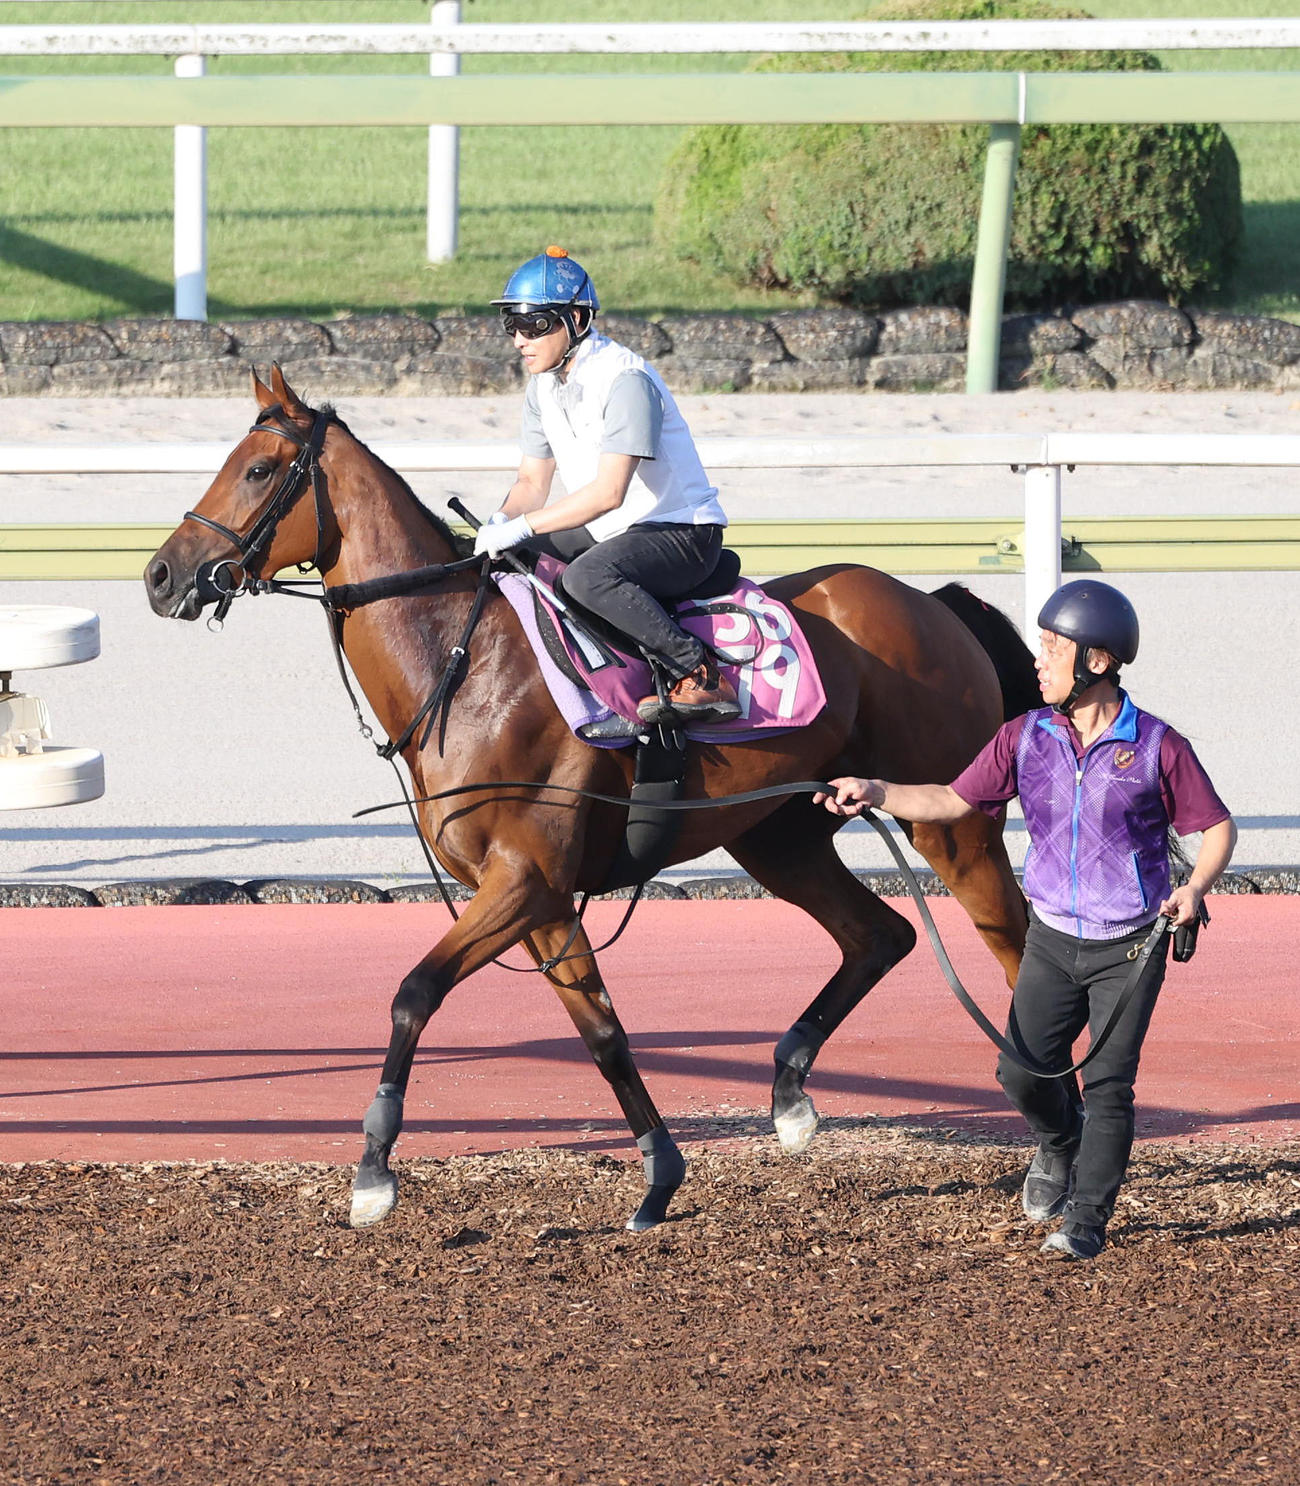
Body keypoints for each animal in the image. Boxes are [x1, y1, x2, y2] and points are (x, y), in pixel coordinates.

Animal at [144, 365, 1037, 1233]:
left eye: (259, 470)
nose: (161, 576)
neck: (463, 664)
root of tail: (932, 602)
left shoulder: (523, 880)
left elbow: (413, 996)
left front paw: (372, 1174)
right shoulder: (539, 900)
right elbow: (603, 1033)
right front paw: (659, 1178)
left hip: (950, 822)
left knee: (1017, 944)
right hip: (779, 837)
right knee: (881, 933)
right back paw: (789, 1096)